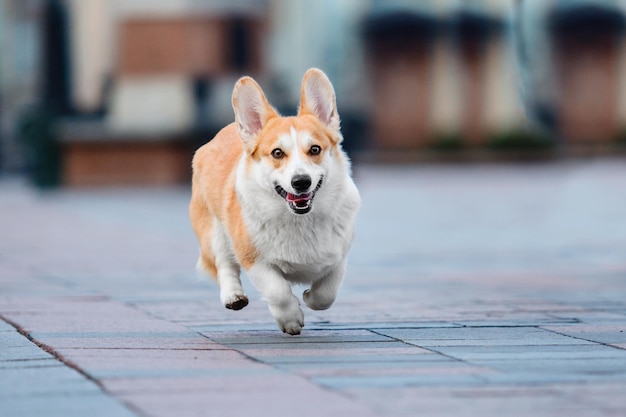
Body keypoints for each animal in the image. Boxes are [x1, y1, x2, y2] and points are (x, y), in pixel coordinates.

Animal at [188, 68, 358, 334]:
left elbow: (326, 294)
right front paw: (291, 319)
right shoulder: (254, 259)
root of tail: (224, 131)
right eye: (277, 153)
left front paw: (309, 297)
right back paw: (233, 296)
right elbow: (278, 291)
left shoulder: (338, 257)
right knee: (224, 264)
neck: (300, 221)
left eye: (315, 149)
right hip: (214, 230)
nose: (301, 182)